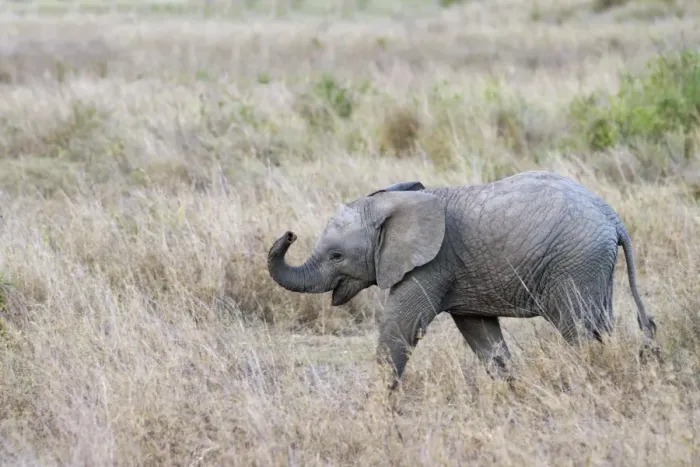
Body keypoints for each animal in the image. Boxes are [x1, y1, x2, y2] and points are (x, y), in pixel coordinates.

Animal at [267, 171, 658, 390]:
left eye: (336, 256)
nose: (289, 234)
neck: (396, 203)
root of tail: (613, 217)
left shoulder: (432, 264)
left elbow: (401, 328)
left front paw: (374, 408)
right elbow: (481, 335)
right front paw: (509, 393)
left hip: (575, 263)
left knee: (579, 330)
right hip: (591, 266)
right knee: (599, 324)